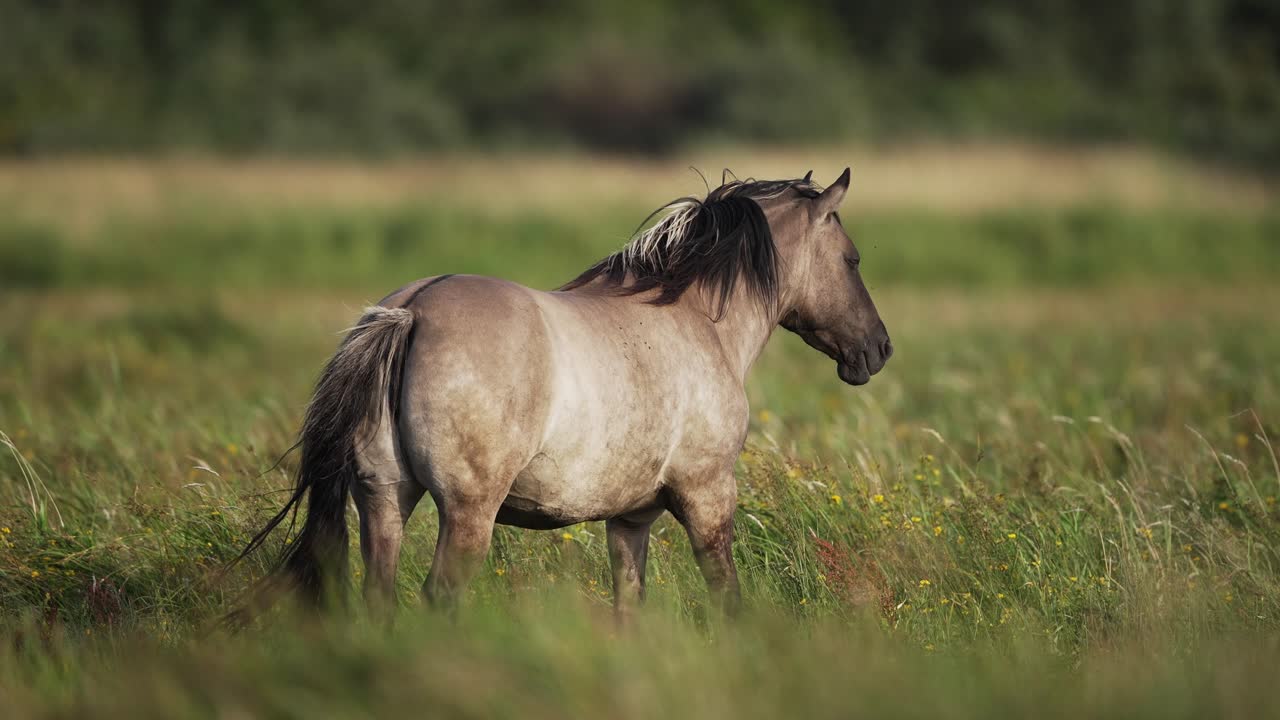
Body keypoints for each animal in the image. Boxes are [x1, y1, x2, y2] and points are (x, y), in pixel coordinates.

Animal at [238, 168, 892, 619]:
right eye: (853, 260)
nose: (878, 349)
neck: (697, 321)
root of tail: (411, 309)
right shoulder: (708, 499)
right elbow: (725, 595)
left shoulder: (630, 520)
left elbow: (629, 607)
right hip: (467, 514)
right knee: (438, 597)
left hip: (383, 497)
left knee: (380, 596)